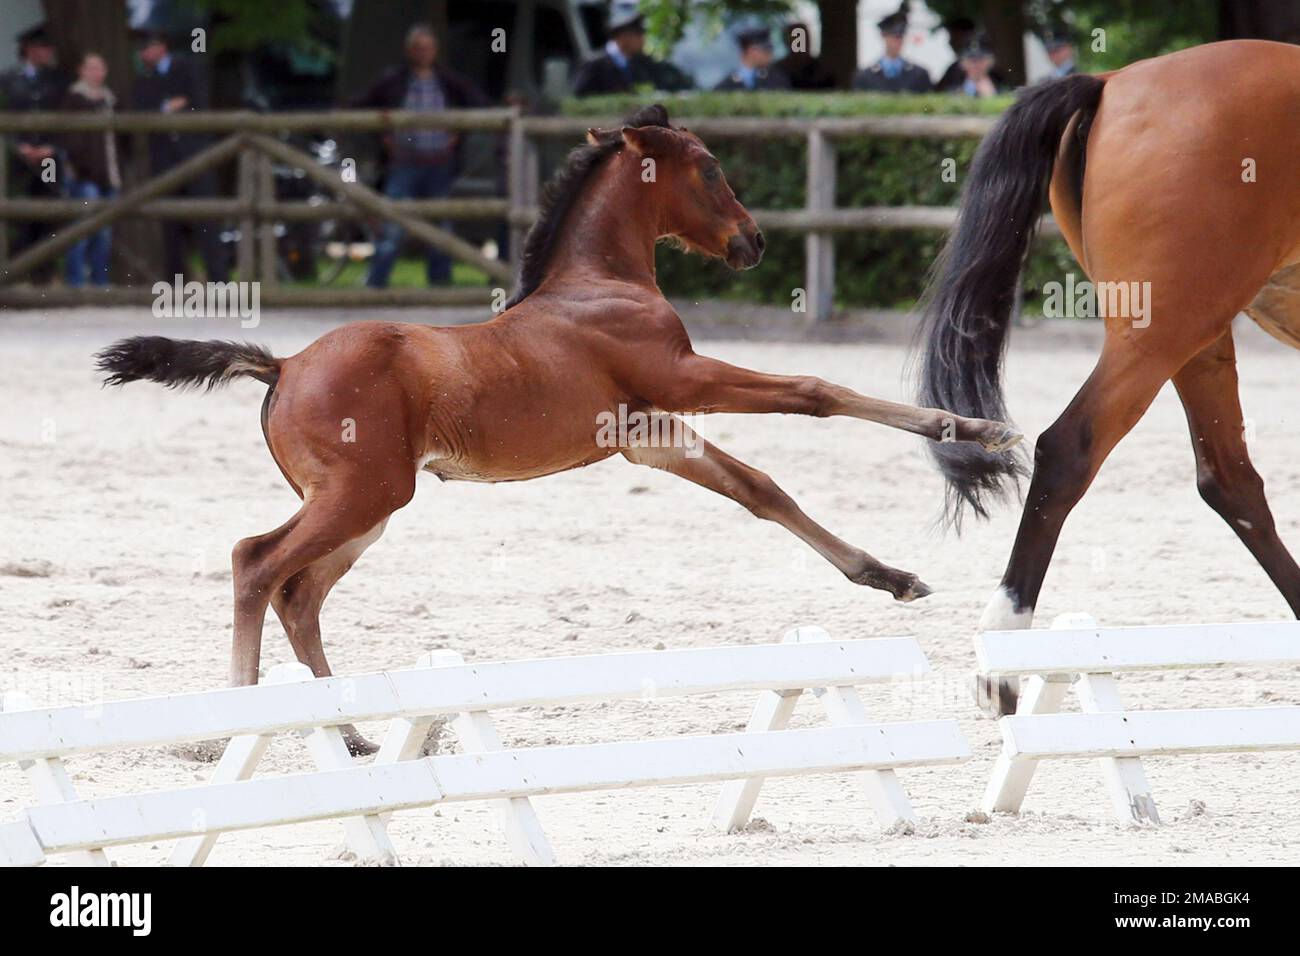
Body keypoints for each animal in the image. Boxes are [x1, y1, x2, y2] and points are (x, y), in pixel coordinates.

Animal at [97, 105, 1020, 753]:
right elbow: (817, 390)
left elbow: (762, 490)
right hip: (363, 495)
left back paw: (350, 733)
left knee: (300, 594)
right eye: (711, 168)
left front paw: (889, 576)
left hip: (366, 508)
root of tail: (284, 365)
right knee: (254, 563)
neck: (599, 282)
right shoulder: (686, 381)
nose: (753, 243)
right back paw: (237, 728)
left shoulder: (648, 430)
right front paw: (980, 430)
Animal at [916, 40, 1300, 715]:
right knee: (1069, 448)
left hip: (1194, 335)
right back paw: (1003, 656)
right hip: (1162, 330)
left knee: (1229, 479)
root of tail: (1113, 79)